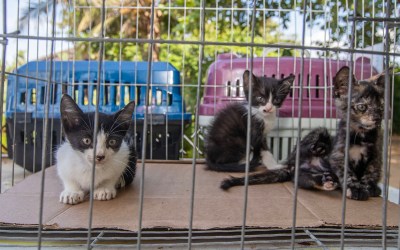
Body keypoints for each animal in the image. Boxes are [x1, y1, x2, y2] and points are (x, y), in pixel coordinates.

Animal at [330, 66, 390, 201]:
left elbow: (371, 171)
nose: (377, 118)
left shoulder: (376, 155)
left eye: (381, 107)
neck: (361, 135)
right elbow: (347, 172)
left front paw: (369, 186)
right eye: (362, 107)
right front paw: (355, 187)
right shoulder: (338, 155)